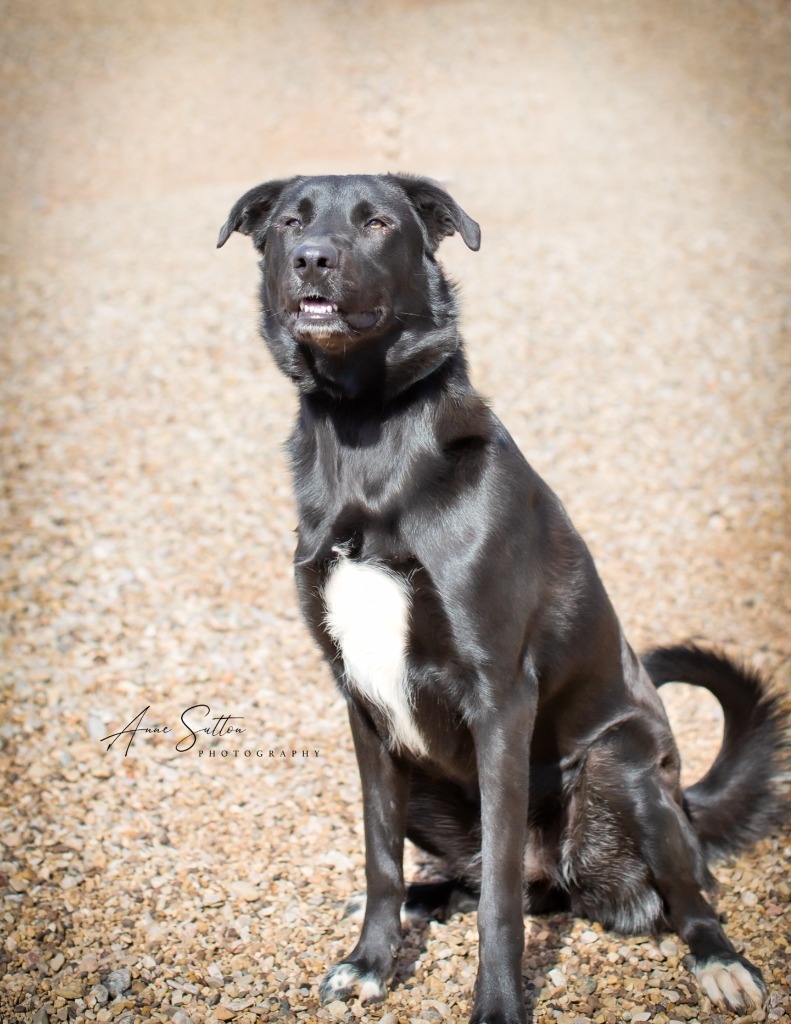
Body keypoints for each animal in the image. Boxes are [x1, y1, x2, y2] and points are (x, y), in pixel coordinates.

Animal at [215, 176, 782, 1024]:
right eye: (290, 221)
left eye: (376, 224)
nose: (313, 258)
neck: (367, 435)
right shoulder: (363, 707)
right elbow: (379, 858)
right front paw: (370, 961)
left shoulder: (500, 699)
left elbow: (499, 904)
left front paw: (498, 1005)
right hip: (424, 777)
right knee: (480, 874)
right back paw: (421, 901)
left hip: (625, 769)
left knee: (674, 893)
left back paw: (719, 961)